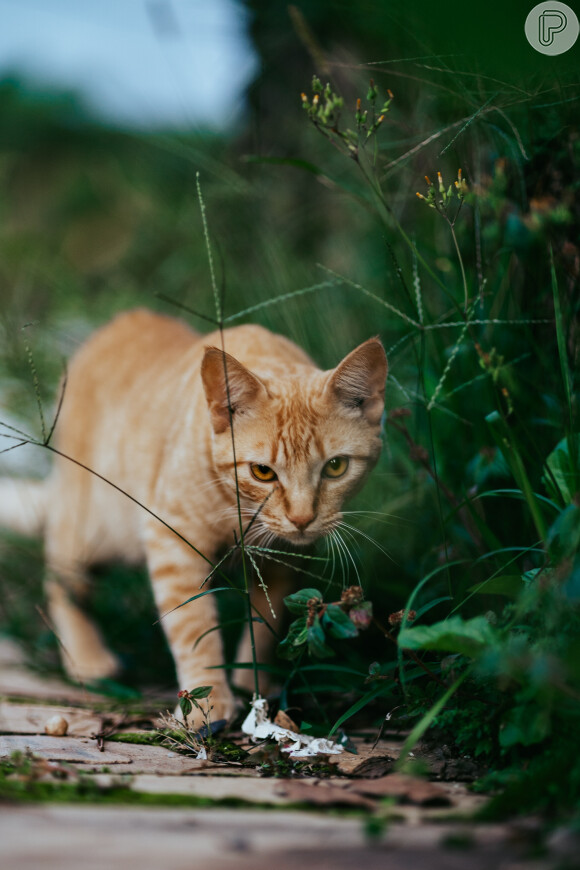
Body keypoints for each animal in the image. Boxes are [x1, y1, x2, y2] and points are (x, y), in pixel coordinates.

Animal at [2, 310, 390, 724]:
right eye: (262, 472)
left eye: (335, 467)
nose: (302, 518)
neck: (239, 514)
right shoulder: (173, 544)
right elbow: (194, 628)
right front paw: (209, 702)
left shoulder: (282, 561)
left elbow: (265, 624)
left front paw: (253, 684)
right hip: (92, 529)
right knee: (62, 580)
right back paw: (88, 659)